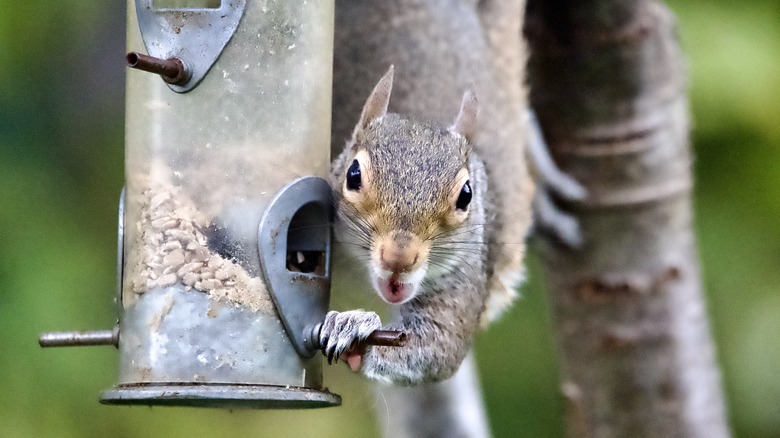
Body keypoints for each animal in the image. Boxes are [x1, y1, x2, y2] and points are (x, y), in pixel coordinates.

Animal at [320, 0, 582, 386]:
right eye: (353, 175)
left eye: (466, 196)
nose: (399, 258)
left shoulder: (465, 273)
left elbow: (438, 346)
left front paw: (353, 327)